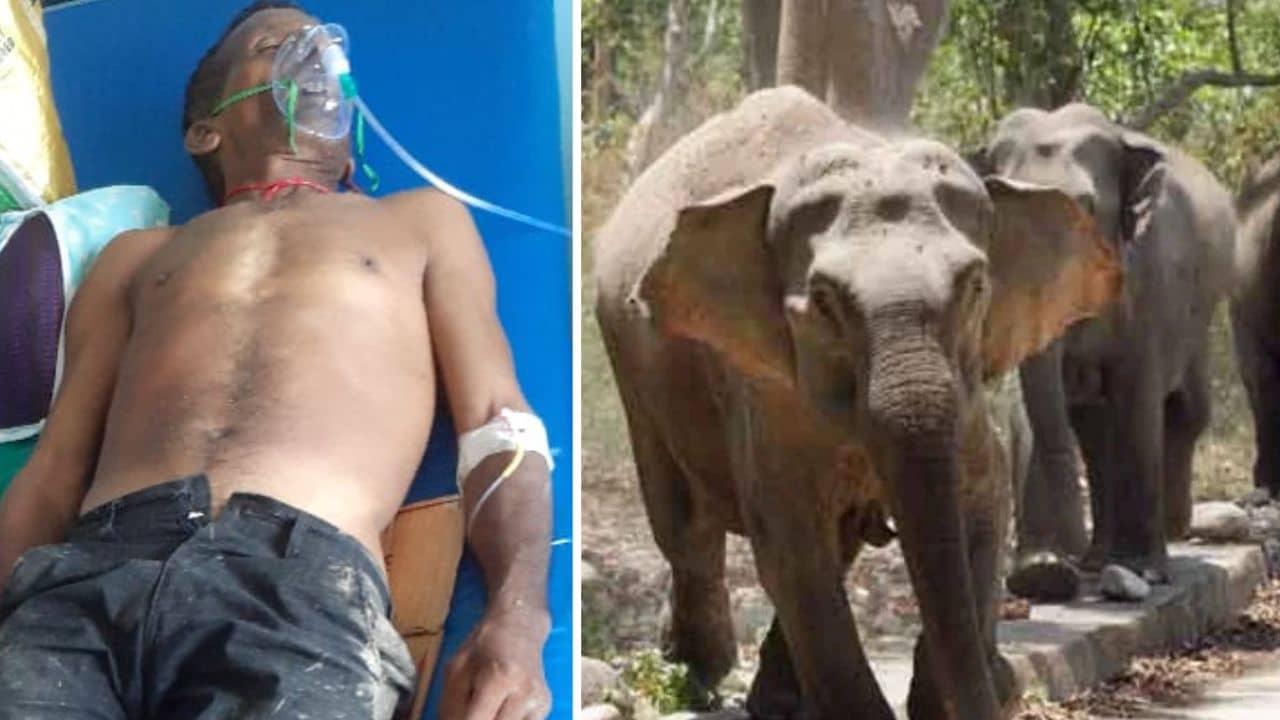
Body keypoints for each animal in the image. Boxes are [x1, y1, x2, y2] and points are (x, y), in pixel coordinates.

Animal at [593, 87, 1119, 720]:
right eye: (824, 301)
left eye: (975, 286)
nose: (1000, 688)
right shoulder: (761, 384)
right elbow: (791, 543)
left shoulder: (966, 399)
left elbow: (982, 504)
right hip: (629, 358)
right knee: (686, 527)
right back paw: (694, 675)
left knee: (828, 541)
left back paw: (771, 699)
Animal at [977, 104, 1237, 600]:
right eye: (994, 210)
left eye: (1086, 207)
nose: (1071, 552)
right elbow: (1037, 404)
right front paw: (1042, 575)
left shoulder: (1151, 284)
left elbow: (1137, 398)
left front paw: (1144, 571)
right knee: (1094, 429)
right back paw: (1100, 558)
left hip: (1201, 318)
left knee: (1186, 411)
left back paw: (1168, 533)